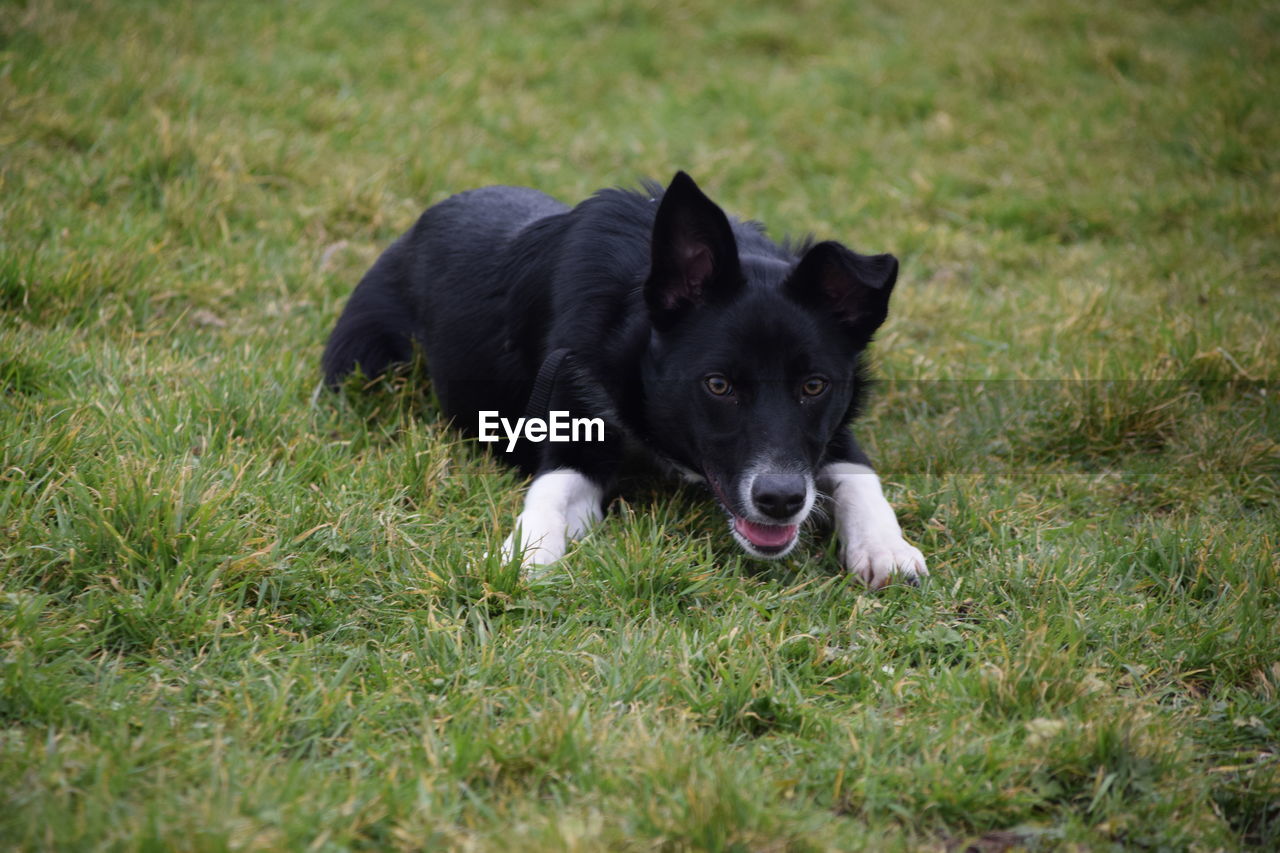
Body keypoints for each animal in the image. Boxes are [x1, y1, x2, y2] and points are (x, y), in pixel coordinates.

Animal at [318, 172, 921, 584]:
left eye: (815, 386)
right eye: (718, 385)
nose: (780, 500)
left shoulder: (830, 435)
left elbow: (860, 477)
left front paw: (885, 546)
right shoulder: (568, 426)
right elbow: (548, 492)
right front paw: (526, 555)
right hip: (364, 363)